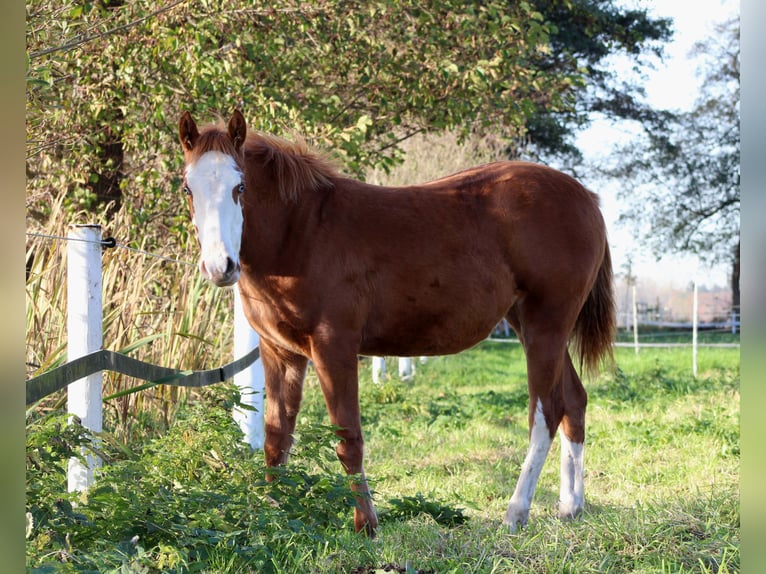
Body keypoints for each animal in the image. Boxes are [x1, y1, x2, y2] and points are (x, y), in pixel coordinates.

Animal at [177, 110, 616, 536]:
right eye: (188, 189)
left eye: (240, 187)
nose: (220, 267)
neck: (300, 232)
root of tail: (587, 199)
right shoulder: (280, 352)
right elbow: (276, 437)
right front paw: (274, 515)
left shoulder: (334, 347)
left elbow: (347, 437)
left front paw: (366, 525)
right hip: (531, 325)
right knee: (574, 401)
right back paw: (570, 506)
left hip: (547, 324)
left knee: (546, 412)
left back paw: (516, 512)